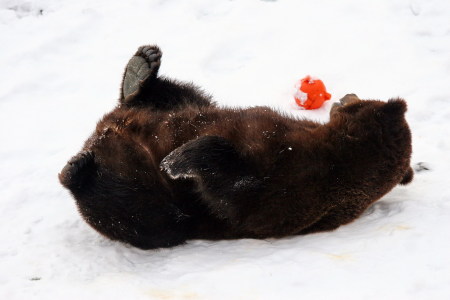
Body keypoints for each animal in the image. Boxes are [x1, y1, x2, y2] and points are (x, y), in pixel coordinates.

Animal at [58, 45, 414, 248]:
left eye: (360, 99)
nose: (346, 95)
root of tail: (104, 132)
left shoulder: (295, 181)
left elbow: (234, 191)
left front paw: (179, 159)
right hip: (168, 112)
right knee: (177, 97)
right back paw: (142, 67)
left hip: (149, 195)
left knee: (133, 209)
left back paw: (76, 170)